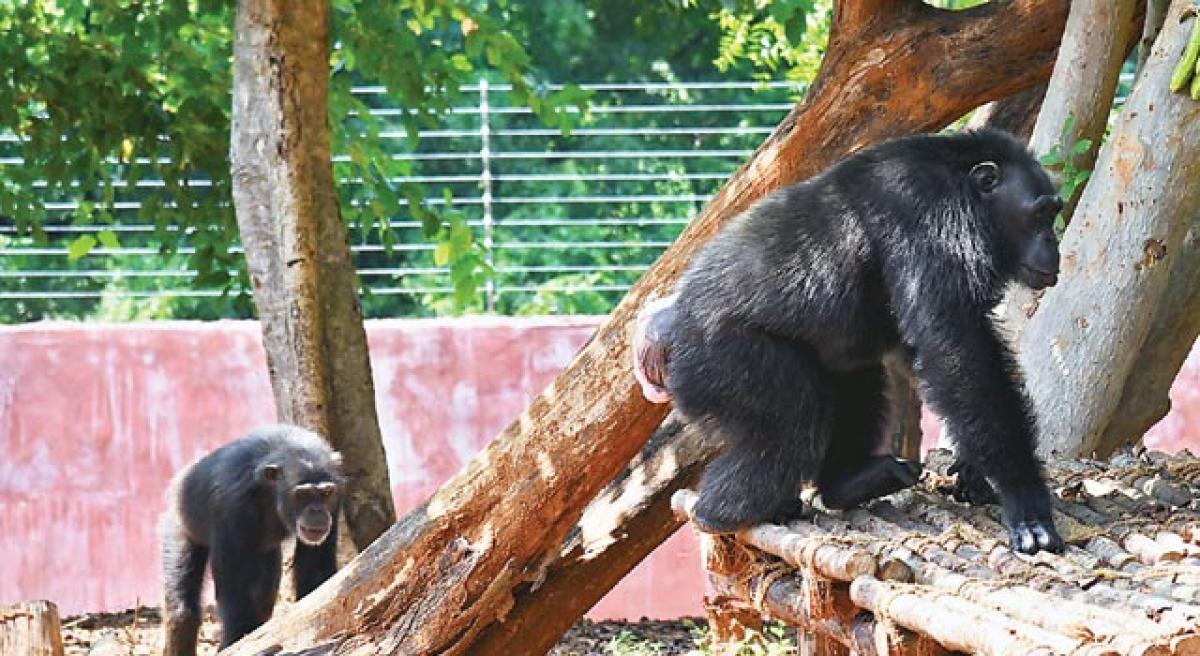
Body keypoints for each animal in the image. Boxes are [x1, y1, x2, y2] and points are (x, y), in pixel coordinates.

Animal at [159, 424, 343, 652]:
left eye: (326, 493)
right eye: (303, 494)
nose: (317, 511)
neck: (271, 492)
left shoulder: (336, 500)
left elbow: (315, 571)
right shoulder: (231, 504)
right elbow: (235, 592)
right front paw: (236, 640)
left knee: (263, 596)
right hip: (177, 525)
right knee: (182, 611)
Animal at [643, 127, 1065, 554]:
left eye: (1053, 214)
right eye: (1040, 215)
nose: (1052, 241)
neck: (970, 196)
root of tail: (666, 336)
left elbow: (923, 352)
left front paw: (974, 472)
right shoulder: (935, 221)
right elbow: (955, 352)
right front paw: (1025, 503)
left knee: (855, 378)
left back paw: (847, 483)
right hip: (720, 356)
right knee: (793, 418)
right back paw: (724, 512)